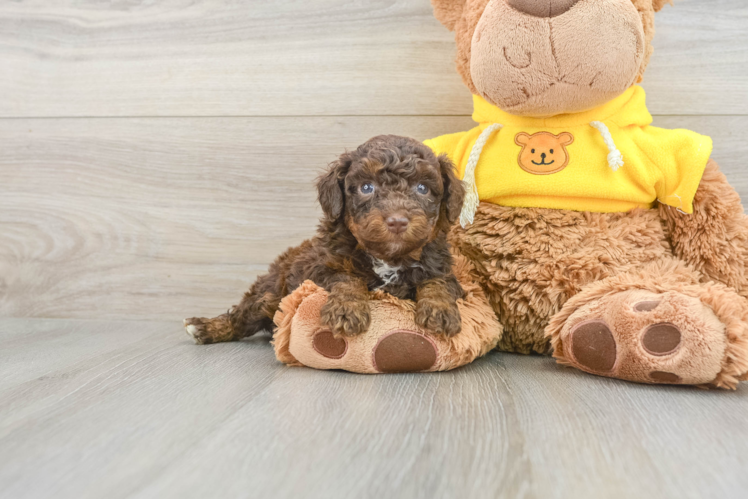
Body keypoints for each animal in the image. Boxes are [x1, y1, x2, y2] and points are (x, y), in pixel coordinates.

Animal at [184, 135, 464, 344]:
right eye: (366, 187)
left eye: (422, 188)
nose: (397, 221)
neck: (389, 258)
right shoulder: (320, 268)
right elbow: (347, 278)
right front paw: (346, 310)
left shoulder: (444, 269)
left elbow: (437, 282)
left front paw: (439, 311)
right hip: (271, 290)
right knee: (244, 315)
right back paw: (205, 327)